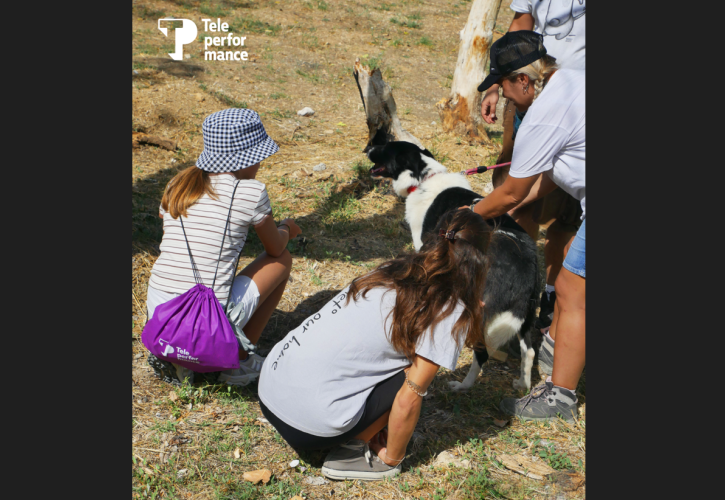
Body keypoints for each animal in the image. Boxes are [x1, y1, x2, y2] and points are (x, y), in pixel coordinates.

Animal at [364, 140, 540, 390]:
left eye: (385, 147)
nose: (367, 148)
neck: (423, 178)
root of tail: (526, 263)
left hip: (479, 310)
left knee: (482, 354)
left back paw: (462, 386)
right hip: (527, 312)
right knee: (530, 351)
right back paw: (523, 384)